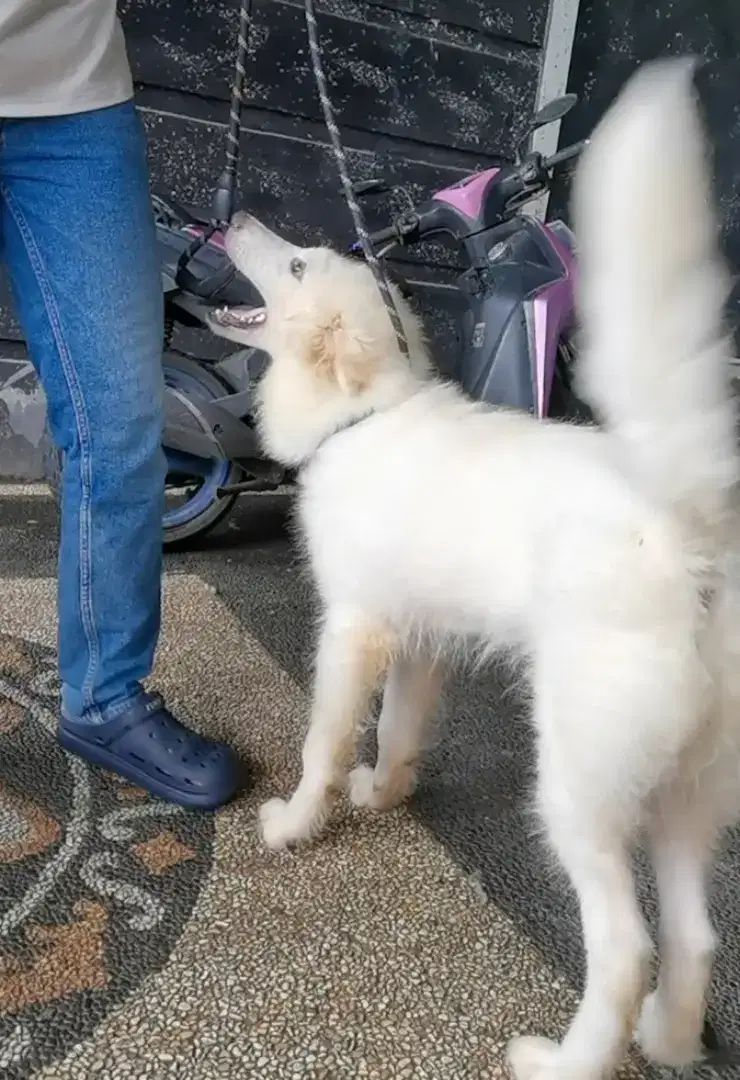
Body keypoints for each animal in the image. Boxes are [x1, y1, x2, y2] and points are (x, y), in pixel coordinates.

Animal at [209, 56, 740, 1080]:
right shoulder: (418, 639)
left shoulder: (352, 629)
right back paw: (668, 1038)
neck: (361, 417)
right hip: (685, 793)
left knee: (627, 950)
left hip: (578, 789)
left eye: (294, 264)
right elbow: (398, 731)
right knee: (695, 939)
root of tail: (685, 524)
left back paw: (562, 1061)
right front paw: (385, 794)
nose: (236, 214)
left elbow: (324, 742)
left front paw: (295, 825)